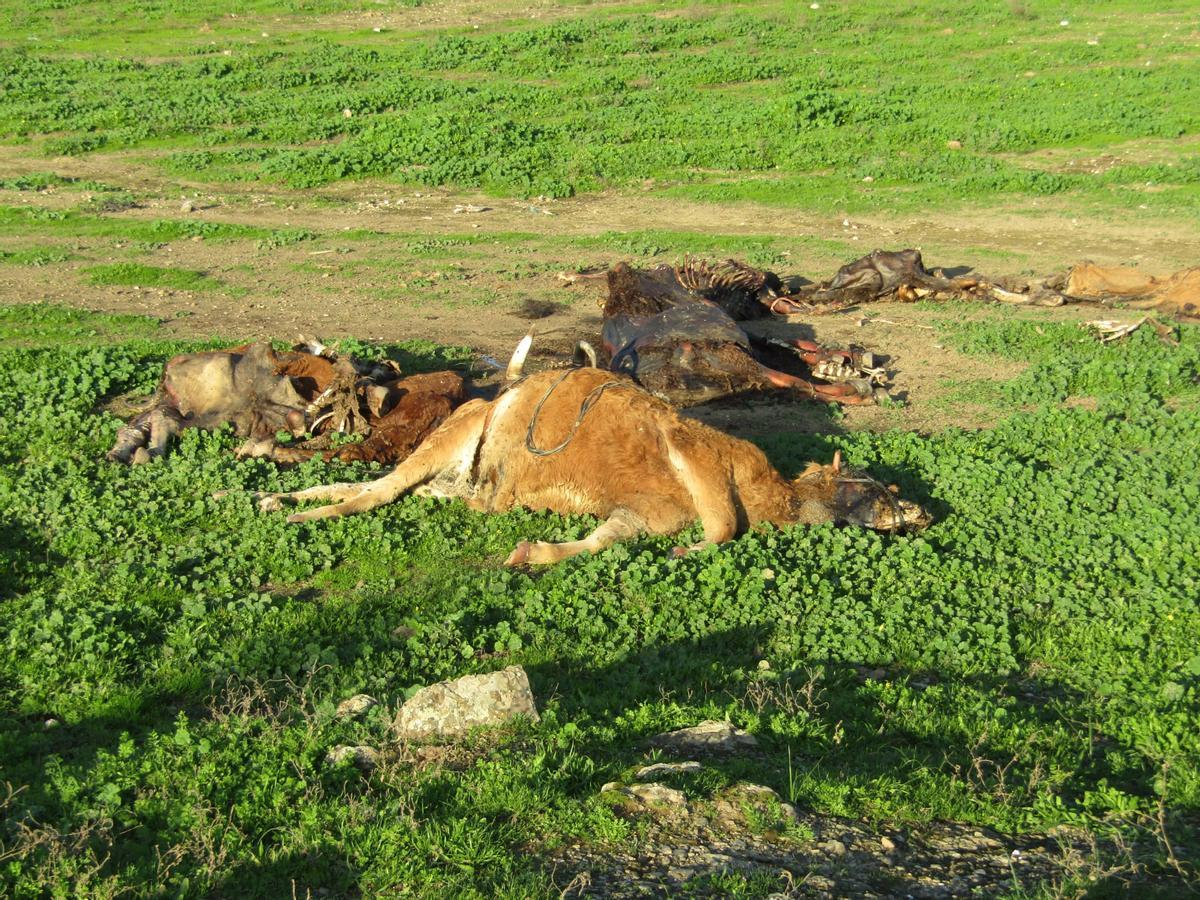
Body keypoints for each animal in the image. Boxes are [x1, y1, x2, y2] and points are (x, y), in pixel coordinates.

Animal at [234, 367, 926, 564]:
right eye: (875, 483)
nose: (919, 511)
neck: (772, 494)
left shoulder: (643, 512)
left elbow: (604, 538)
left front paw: (531, 553)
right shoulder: (698, 447)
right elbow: (724, 525)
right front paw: (697, 548)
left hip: (447, 481)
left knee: (376, 483)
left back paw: (267, 500)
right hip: (454, 432)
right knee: (372, 493)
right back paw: (295, 515)